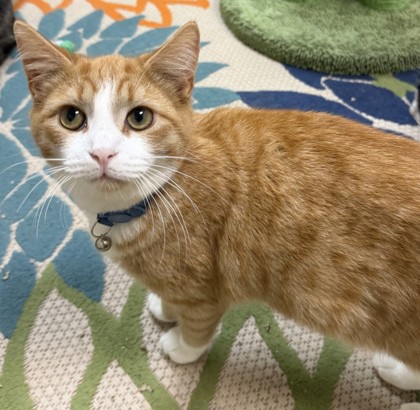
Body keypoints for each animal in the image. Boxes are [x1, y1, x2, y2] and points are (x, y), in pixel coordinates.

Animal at [13, 20, 420, 405]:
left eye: (140, 117)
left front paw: (180, 346)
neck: (158, 196)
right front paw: (166, 308)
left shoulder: (203, 290)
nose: (102, 153)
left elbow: (197, 326)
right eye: (71, 117)